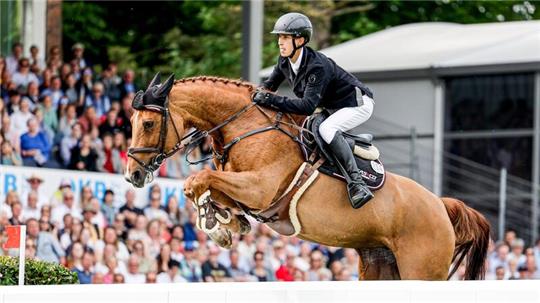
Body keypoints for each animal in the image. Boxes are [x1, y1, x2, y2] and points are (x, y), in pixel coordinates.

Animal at [124, 73, 492, 280]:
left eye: (148, 123)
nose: (133, 176)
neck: (245, 126)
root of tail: (441, 205)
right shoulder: (246, 189)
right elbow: (208, 186)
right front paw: (229, 223)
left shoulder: (260, 188)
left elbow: (197, 181)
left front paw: (217, 226)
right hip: (380, 265)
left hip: (422, 269)